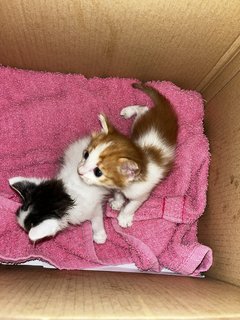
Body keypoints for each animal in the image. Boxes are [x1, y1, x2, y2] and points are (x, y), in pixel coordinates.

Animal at [78, 82, 177, 228]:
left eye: (98, 172)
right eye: (86, 154)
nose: (79, 171)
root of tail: (164, 110)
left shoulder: (142, 194)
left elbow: (132, 206)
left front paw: (124, 217)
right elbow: (119, 194)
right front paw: (118, 202)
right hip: (141, 119)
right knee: (143, 108)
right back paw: (129, 111)